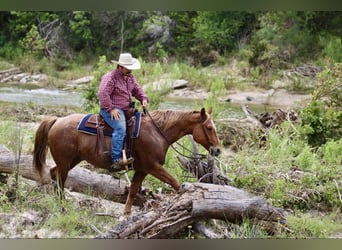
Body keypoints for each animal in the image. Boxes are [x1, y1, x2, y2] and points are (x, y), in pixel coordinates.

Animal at [32, 106, 222, 214]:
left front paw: (126, 214)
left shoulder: (142, 169)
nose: (218, 150)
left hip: (71, 161)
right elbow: (175, 183)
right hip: (65, 162)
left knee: (53, 174)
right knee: (60, 180)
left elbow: (133, 190)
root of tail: (57, 120)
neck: (157, 131)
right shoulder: (153, 167)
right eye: (208, 127)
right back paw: (62, 206)